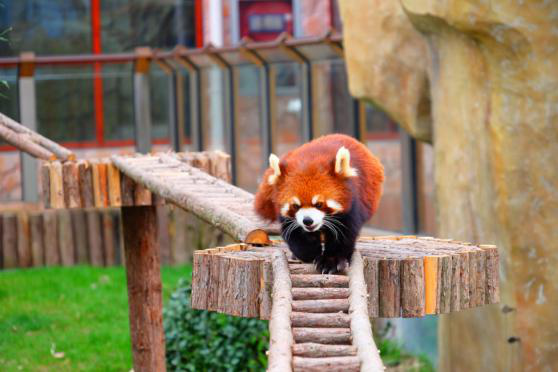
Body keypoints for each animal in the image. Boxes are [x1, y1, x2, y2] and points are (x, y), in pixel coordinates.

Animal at [255, 134, 382, 274]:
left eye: (319, 204)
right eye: (296, 206)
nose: (307, 220)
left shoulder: (351, 206)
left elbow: (344, 234)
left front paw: (331, 261)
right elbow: (295, 235)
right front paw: (310, 253)